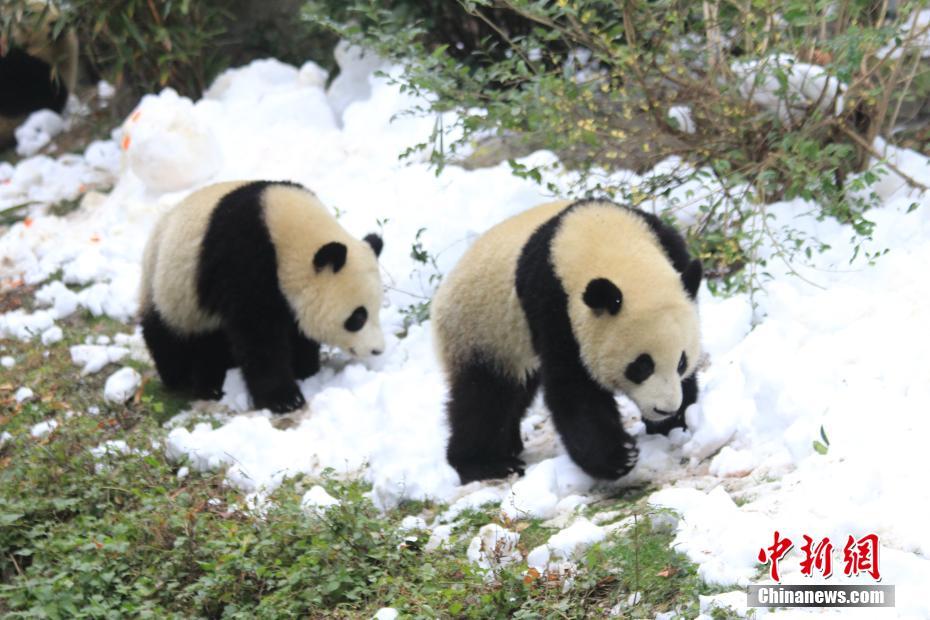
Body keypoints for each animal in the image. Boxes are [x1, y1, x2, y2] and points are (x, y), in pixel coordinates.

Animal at [139, 179, 384, 412]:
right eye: (358, 317)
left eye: (377, 311)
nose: (377, 350)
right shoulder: (242, 259)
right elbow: (259, 336)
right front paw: (285, 399)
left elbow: (297, 330)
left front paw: (305, 370)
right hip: (172, 290)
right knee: (170, 337)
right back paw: (195, 382)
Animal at [432, 199, 700, 484]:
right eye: (641, 366)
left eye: (681, 362)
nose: (665, 409)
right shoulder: (553, 306)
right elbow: (573, 387)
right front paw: (619, 457)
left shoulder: (670, 249)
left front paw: (675, 423)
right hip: (478, 330)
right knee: (484, 397)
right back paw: (485, 464)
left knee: (515, 389)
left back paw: (509, 445)